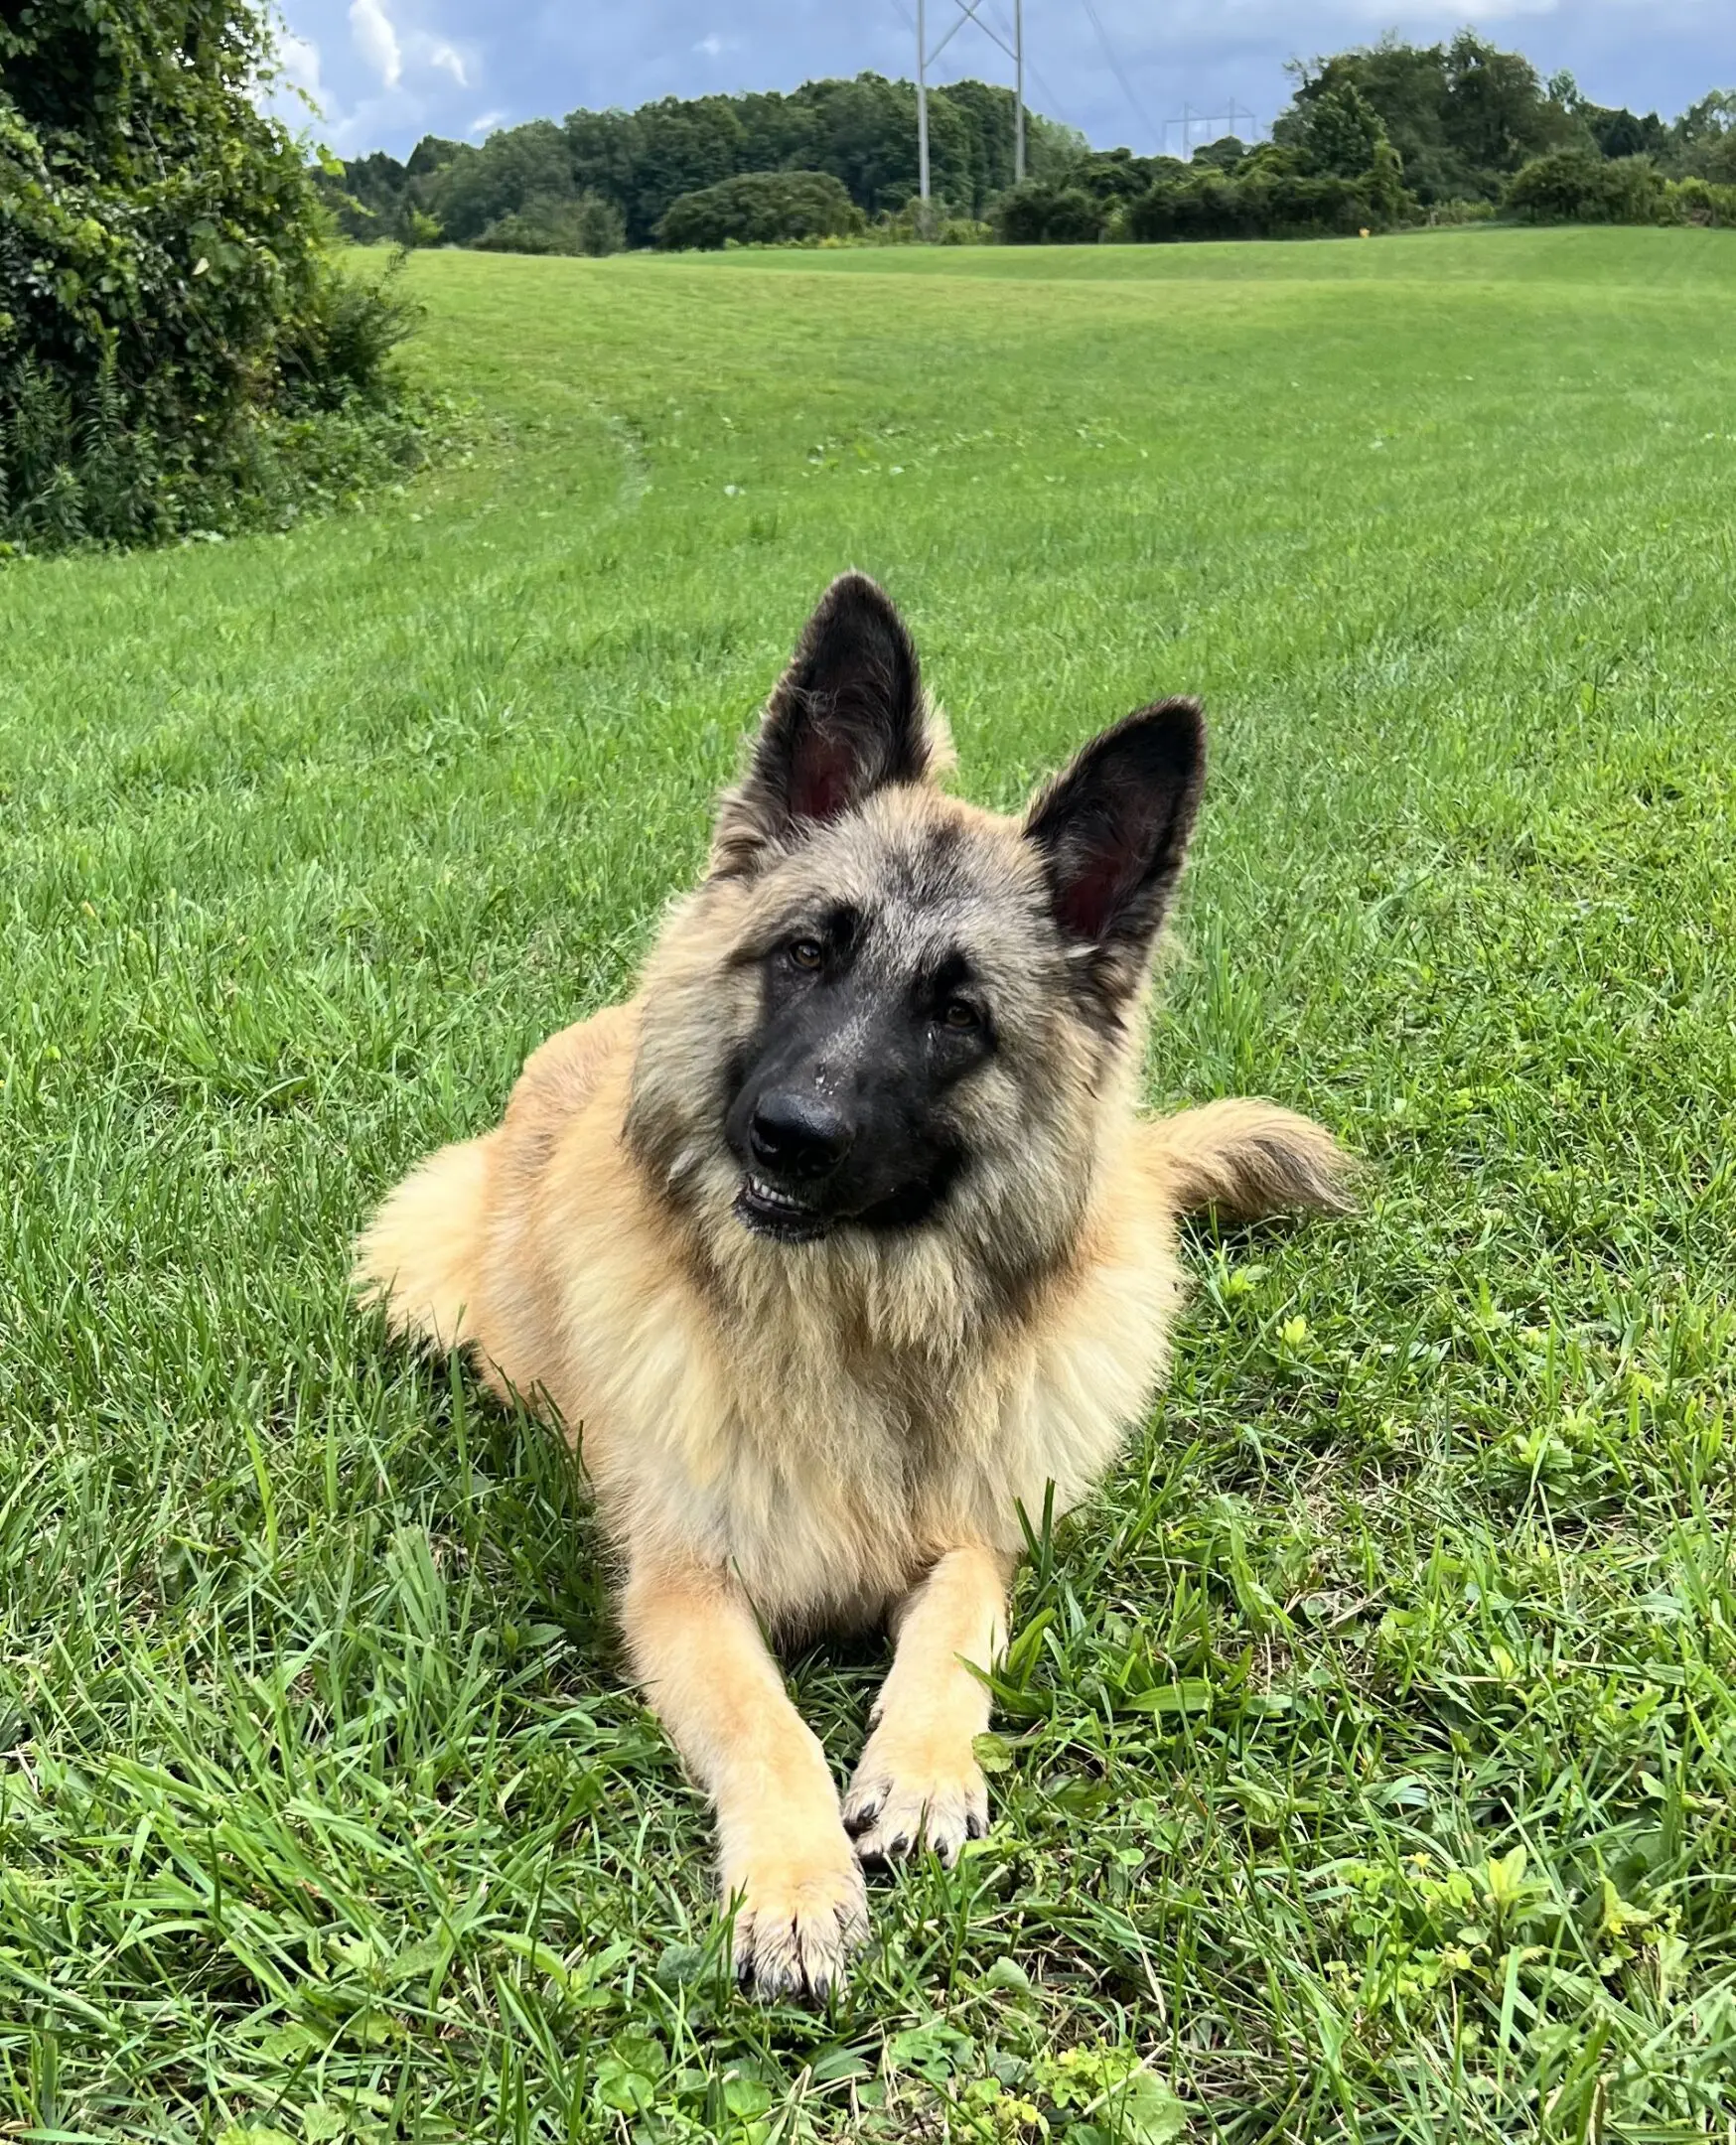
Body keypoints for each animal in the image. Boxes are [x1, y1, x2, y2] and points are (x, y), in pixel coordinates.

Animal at [356, 570, 1356, 1990]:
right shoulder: (682, 1586)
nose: (787, 1137)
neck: (846, 1325)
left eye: (957, 1015)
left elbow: (958, 1623)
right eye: (807, 953)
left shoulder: (985, 1523)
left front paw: (925, 1766)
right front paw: (793, 1881)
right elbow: (765, 1722)